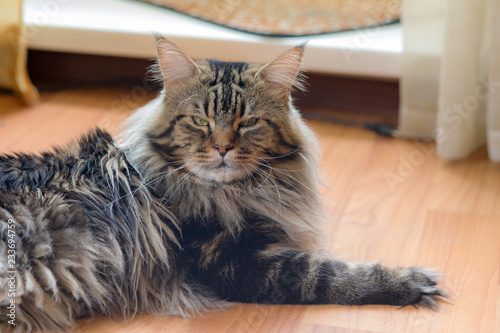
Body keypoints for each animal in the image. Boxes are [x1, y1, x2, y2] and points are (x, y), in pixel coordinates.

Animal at [0, 38, 446, 330]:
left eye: (248, 122)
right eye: (200, 120)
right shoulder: (229, 260)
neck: (233, 193)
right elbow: (328, 273)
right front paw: (408, 283)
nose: (222, 148)